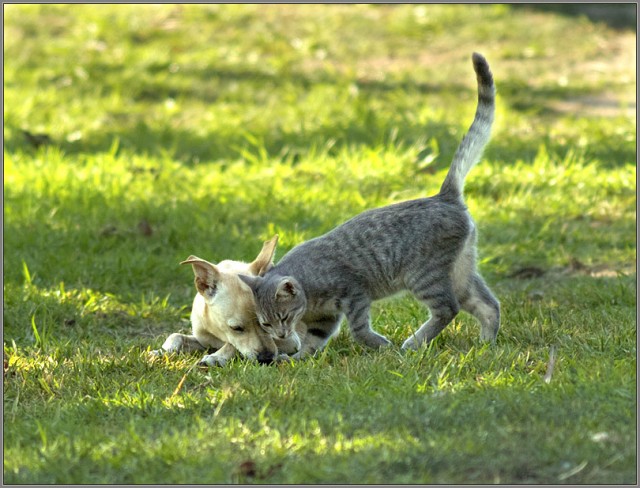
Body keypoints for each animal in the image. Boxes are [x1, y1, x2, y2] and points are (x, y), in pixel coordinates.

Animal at [157, 236, 302, 366]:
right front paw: (161, 352)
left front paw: (216, 357)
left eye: (265, 325)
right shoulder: (203, 340)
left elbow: (231, 345)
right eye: (236, 328)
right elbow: (175, 336)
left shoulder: (292, 340)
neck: (219, 334)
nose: (266, 358)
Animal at [240, 53, 500, 358]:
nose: (280, 334)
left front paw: (381, 346)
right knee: (488, 304)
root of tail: (443, 196)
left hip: (425, 276)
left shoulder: (355, 295)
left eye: (282, 317)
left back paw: (413, 343)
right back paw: (486, 343)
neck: (309, 297)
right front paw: (296, 359)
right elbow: (313, 340)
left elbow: (359, 331)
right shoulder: (324, 318)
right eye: (265, 324)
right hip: (461, 272)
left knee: (449, 308)